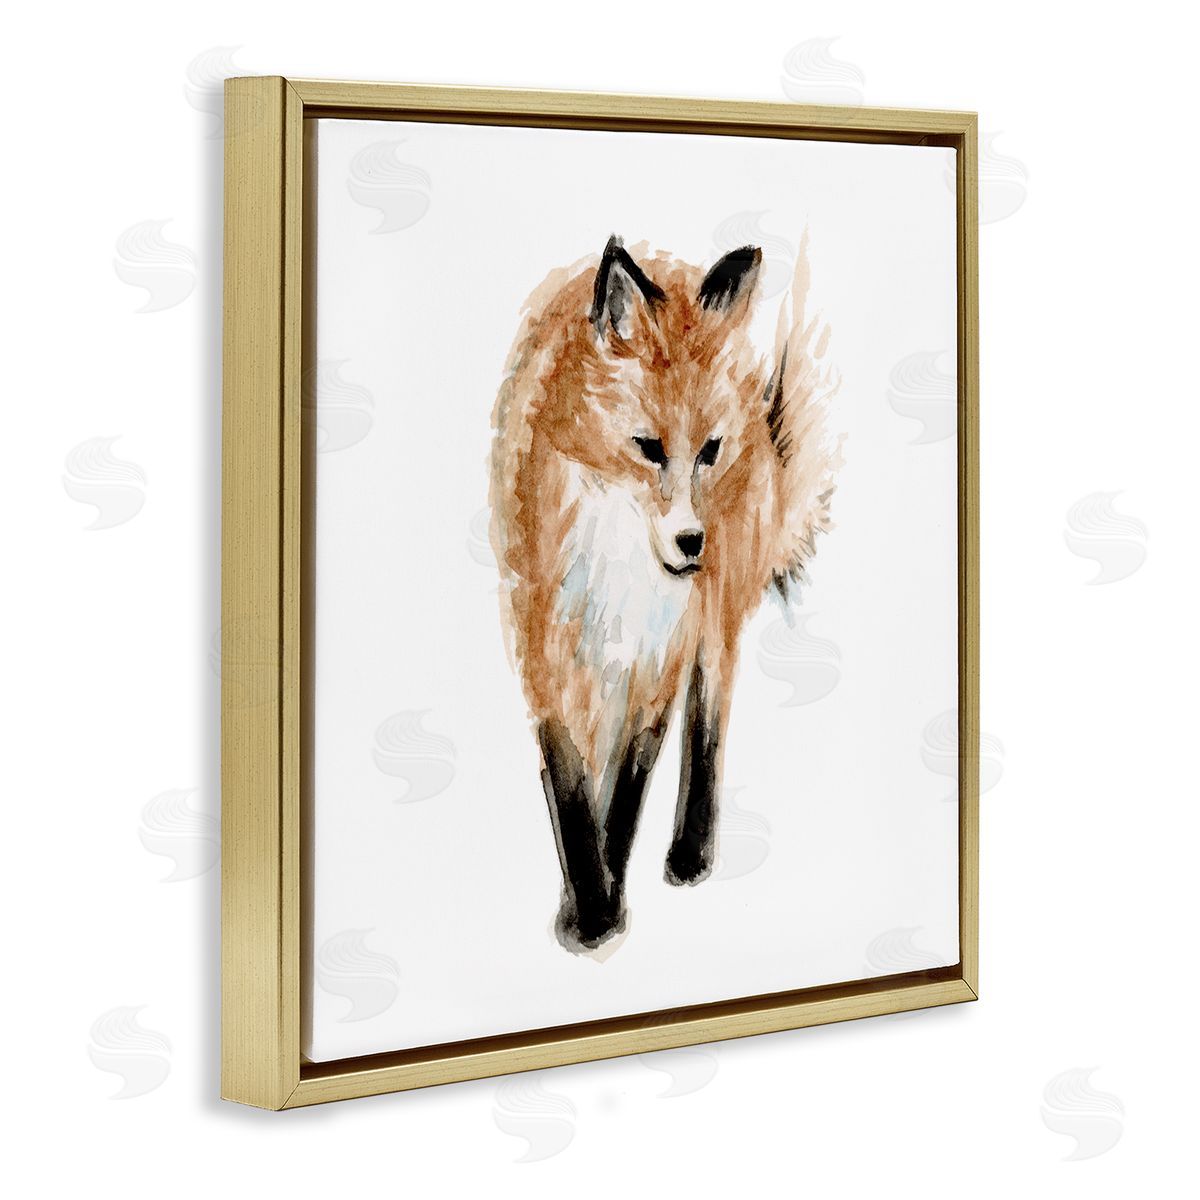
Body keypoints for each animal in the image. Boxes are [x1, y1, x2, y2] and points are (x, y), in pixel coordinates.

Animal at [489, 234, 839, 953]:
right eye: (648, 448)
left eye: (708, 450)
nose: (690, 543)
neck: (618, 560)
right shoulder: (540, 643)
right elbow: (571, 785)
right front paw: (589, 906)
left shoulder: (661, 656)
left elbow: (629, 787)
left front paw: (605, 904)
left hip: (715, 619)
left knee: (709, 718)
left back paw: (691, 850)